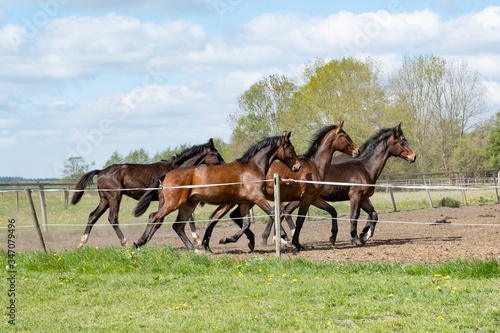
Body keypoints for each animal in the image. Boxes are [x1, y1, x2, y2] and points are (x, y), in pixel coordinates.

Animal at [71, 137, 225, 246]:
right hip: (114, 197)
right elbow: (158, 219)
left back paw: (81, 243)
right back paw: (124, 242)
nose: (224, 165)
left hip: (105, 199)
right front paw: (143, 240)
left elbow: (187, 216)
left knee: (92, 216)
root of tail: (101, 171)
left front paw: (196, 239)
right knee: (112, 218)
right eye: (215, 153)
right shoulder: (164, 199)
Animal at [131, 131, 300, 250]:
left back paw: (195, 250)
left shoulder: (245, 202)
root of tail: (167, 175)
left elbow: (246, 224)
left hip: (187, 205)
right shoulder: (257, 198)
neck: (252, 168)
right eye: (291, 148)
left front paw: (230, 240)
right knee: (155, 217)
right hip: (173, 203)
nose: (297, 167)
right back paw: (139, 243)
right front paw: (285, 237)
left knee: (177, 226)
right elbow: (272, 213)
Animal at [203, 123, 360, 250]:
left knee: (232, 216)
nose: (357, 150)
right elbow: (299, 220)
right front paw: (296, 243)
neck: (315, 166)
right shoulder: (306, 199)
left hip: (247, 201)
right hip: (238, 200)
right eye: (346, 136)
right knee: (219, 217)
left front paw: (332, 237)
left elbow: (332, 211)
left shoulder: (315, 198)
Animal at [280, 123, 416, 245]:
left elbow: (373, 214)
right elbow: (354, 216)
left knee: (283, 212)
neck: (365, 168)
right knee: (283, 211)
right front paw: (355, 238)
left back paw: (285, 238)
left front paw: (365, 235)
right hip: (300, 199)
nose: (414, 156)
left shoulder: (363, 198)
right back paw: (286, 238)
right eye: (401, 141)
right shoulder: (355, 196)